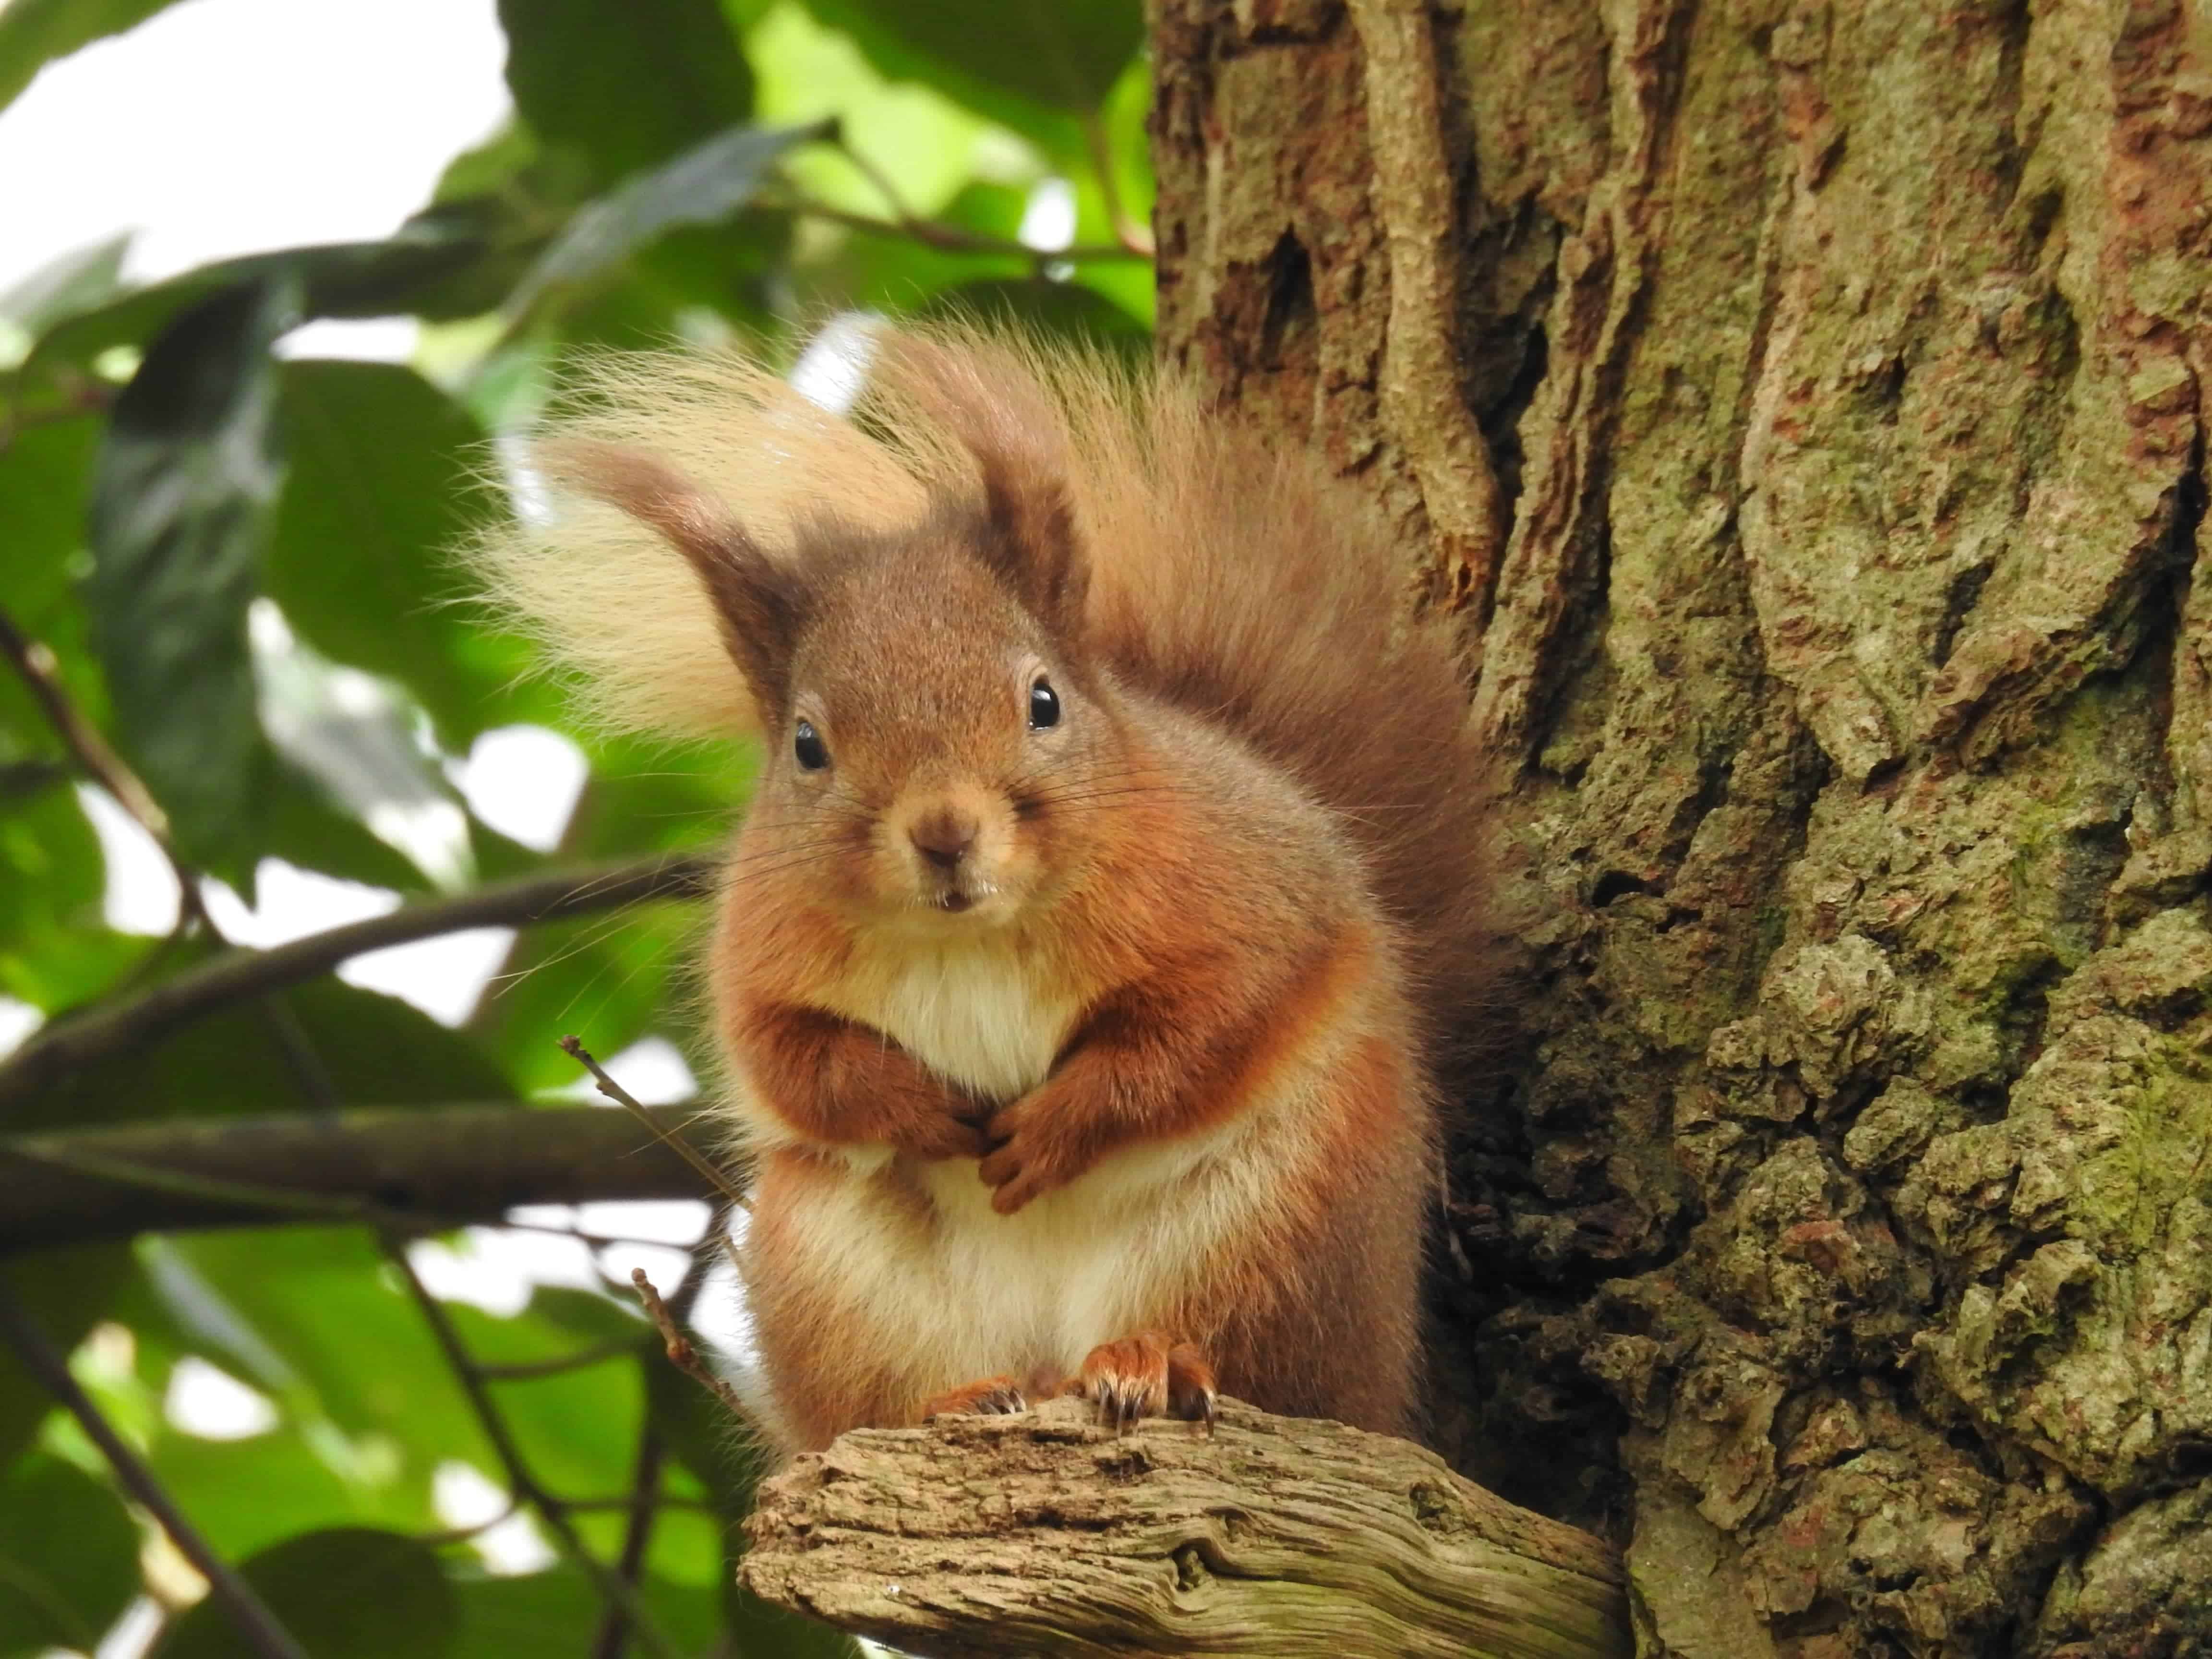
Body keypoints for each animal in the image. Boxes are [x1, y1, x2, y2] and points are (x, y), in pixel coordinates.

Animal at [475, 322, 1502, 1455]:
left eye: (1044, 700)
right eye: (807, 745)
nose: (944, 833)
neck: (966, 936)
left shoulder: (1255, 891)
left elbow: (1203, 1025)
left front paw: (1058, 1125)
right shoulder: (761, 957)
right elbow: (790, 1060)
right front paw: (917, 1109)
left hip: (1276, 1229)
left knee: (1253, 1359)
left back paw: (1154, 1361)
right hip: (835, 1269)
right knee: (876, 1392)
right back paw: (958, 1398)